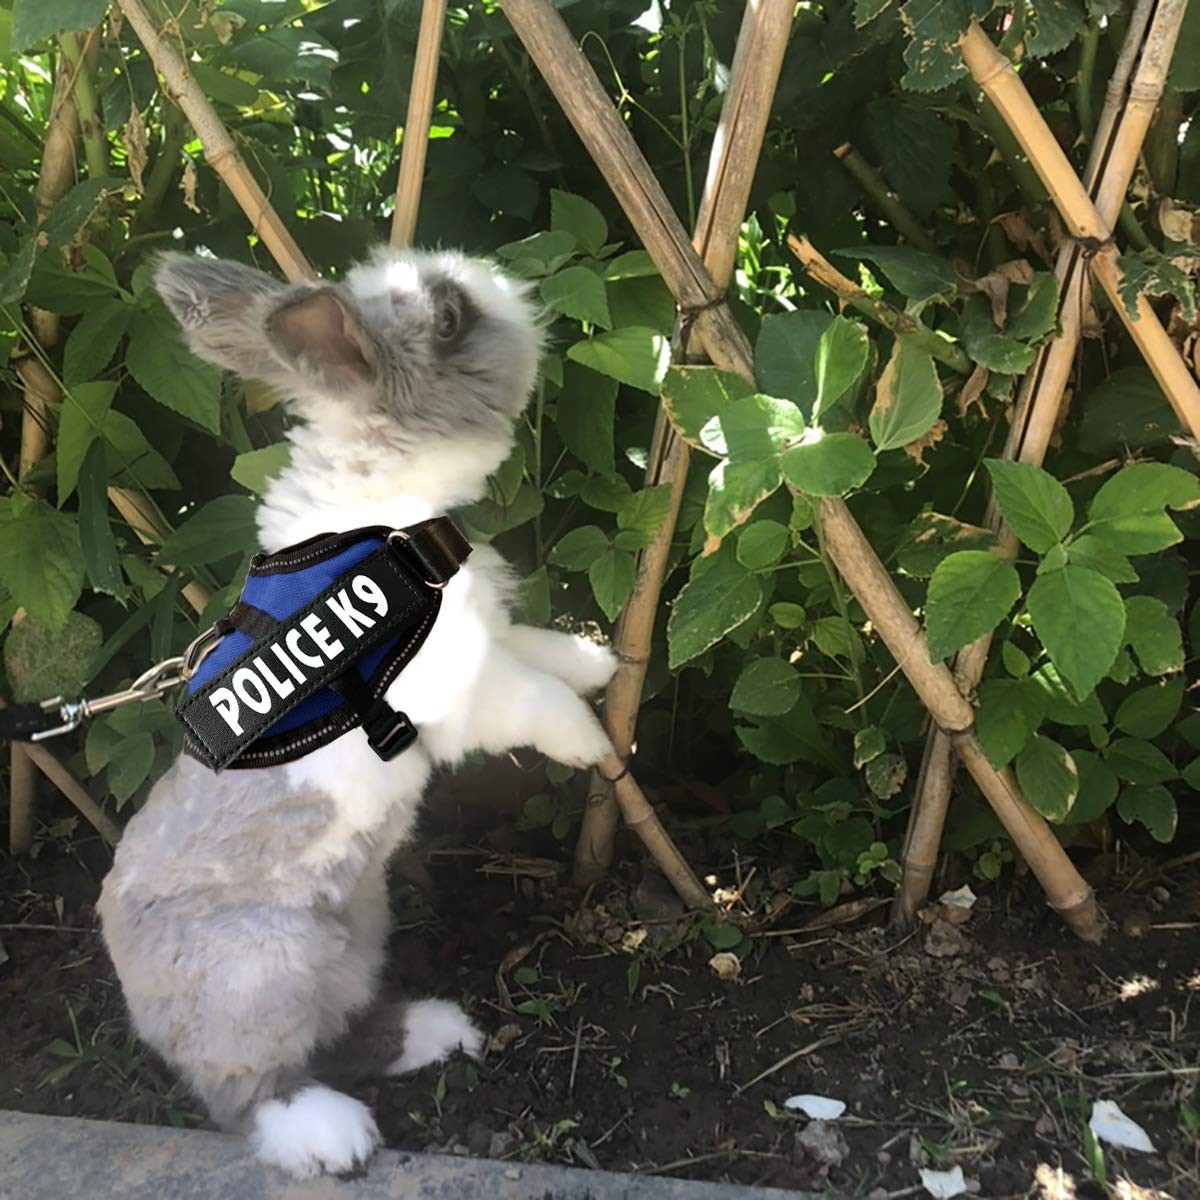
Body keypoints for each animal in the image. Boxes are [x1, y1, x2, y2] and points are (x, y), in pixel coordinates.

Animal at [97, 247, 617, 1178]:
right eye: (446, 318)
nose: (508, 284)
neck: (390, 522)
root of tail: (131, 979)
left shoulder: (490, 635)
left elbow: (540, 652)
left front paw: (600, 663)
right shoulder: (459, 685)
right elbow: (532, 699)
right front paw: (589, 743)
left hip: (359, 933)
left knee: (341, 1031)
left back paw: (438, 1031)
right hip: (265, 972)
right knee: (250, 1089)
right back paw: (330, 1136)